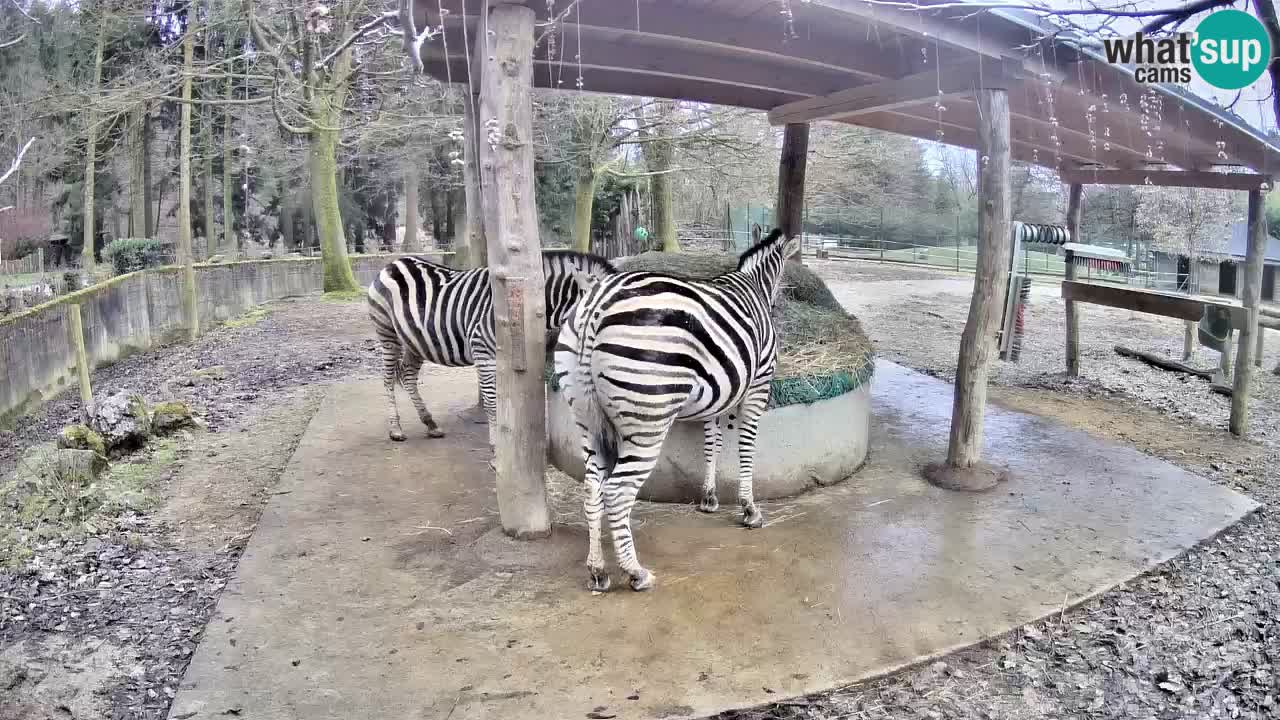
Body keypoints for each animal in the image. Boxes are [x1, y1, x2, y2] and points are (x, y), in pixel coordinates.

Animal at [368, 251, 616, 443]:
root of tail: (394, 262)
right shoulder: (483, 351)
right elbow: (491, 401)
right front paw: (498, 450)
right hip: (387, 333)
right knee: (388, 379)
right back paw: (396, 429)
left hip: (415, 341)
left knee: (408, 376)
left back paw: (430, 423)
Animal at [552, 224, 793, 589]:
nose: (780, 309)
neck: (754, 285)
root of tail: (596, 304)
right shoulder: (757, 386)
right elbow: (746, 447)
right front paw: (749, 509)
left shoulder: (718, 393)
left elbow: (712, 443)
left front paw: (708, 498)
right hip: (647, 420)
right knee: (617, 492)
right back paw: (636, 573)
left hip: (585, 416)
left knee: (593, 487)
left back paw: (598, 570)